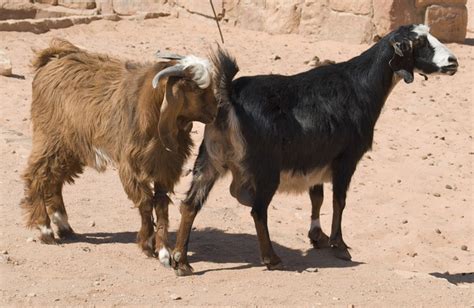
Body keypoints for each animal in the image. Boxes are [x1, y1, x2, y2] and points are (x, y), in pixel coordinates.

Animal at [19, 38, 218, 262]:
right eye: (197, 90)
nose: (215, 111)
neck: (148, 106)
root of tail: (52, 60)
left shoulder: (164, 166)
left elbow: (161, 204)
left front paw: (163, 252)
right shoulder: (132, 166)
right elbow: (145, 202)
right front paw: (148, 245)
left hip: (70, 147)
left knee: (54, 179)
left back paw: (64, 226)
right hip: (50, 138)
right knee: (37, 175)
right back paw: (45, 230)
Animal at [167, 23, 460, 274]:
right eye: (418, 42)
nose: (452, 62)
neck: (359, 86)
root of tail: (229, 94)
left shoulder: (315, 156)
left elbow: (316, 196)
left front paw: (318, 236)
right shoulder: (346, 158)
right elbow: (339, 200)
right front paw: (339, 245)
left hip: (210, 159)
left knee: (190, 205)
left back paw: (181, 261)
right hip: (265, 168)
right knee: (257, 209)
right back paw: (271, 258)